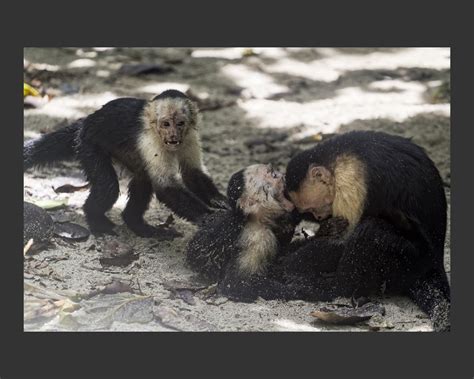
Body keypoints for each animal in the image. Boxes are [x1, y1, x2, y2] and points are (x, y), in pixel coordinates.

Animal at [24, 90, 228, 236]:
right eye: (166, 124)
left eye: (180, 123)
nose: (173, 136)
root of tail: (85, 123)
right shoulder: (149, 140)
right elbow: (166, 186)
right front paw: (209, 218)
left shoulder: (190, 137)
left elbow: (192, 173)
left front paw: (220, 201)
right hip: (88, 145)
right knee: (109, 187)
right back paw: (95, 219)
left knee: (143, 178)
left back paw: (137, 225)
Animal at [184, 165, 344, 302]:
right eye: (272, 175)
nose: (282, 175)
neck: (256, 219)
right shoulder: (257, 238)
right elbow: (236, 284)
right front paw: (309, 290)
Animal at [284, 131, 450, 332]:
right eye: (311, 210)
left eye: (315, 207)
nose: (320, 216)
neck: (336, 158)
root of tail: (435, 264)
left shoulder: (349, 181)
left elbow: (343, 241)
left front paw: (290, 262)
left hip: (411, 262)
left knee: (372, 231)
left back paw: (334, 286)